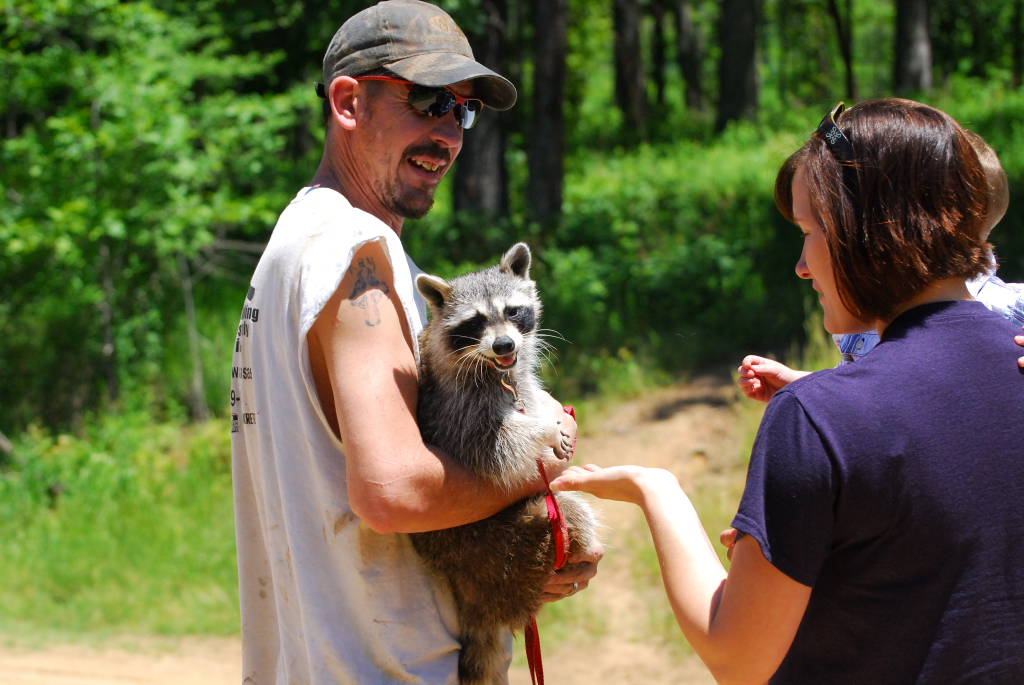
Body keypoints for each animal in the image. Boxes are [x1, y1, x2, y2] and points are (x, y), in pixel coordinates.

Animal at [409, 241, 598, 683]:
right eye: (475, 322)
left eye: (513, 312)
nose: (504, 347)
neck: (498, 371)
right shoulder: (455, 412)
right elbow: (497, 448)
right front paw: (546, 427)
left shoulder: (519, 379)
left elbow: (528, 397)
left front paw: (546, 414)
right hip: (504, 554)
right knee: (571, 511)